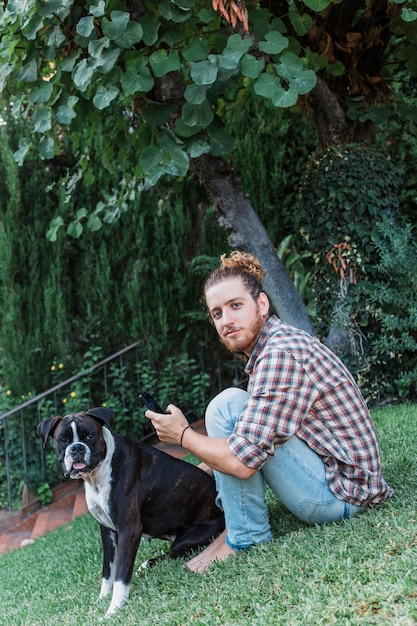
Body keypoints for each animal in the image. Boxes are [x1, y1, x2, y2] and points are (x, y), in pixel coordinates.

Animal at [36, 404, 224, 616]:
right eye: (63, 440)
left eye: (89, 436)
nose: (77, 447)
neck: (97, 474)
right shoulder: (108, 532)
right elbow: (108, 570)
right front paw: (102, 598)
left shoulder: (129, 530)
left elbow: (121, 574)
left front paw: (113, 609)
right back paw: (146, 565)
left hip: (188, 539)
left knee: (173, 553)